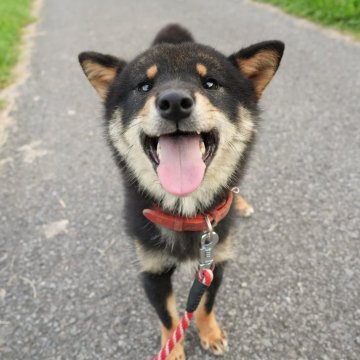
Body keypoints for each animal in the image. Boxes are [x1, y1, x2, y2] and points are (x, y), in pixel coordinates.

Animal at [79, 23, 284, 358]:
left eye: (210, 83)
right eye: (144, 86)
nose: (174, 101)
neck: (186, 214)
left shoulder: (215, 262)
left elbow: (204, 305)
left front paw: (210, 332)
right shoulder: (152, 271)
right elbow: (169, 316)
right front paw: (172, 348)